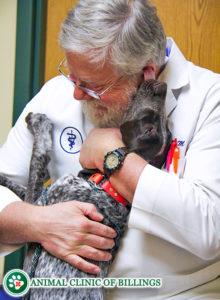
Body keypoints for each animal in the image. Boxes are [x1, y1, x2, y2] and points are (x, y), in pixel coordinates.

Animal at [0, 78, 172, 298]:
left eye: (148, 127)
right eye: (162, 127)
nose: (161, 88)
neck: (108, 189)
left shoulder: (40, 205)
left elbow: (39, 156)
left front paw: (38, 123)